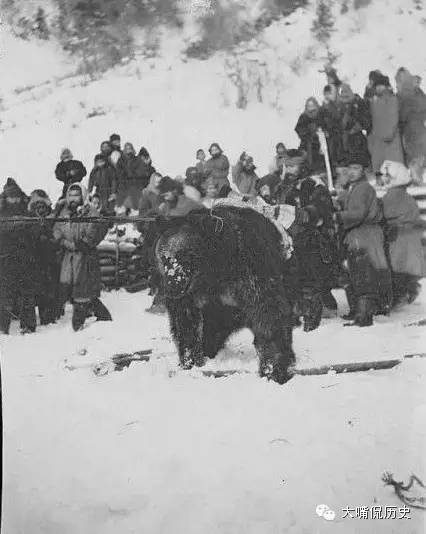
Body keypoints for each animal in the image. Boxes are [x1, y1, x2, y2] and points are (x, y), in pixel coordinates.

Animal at [153, 205, 296, 386]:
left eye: (188, 256)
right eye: (165, 258)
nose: (172, 286)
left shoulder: (250, 272)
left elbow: (268, 313)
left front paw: (274, 368)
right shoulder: (190, 296)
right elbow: (186, 324)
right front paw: (190, 361)